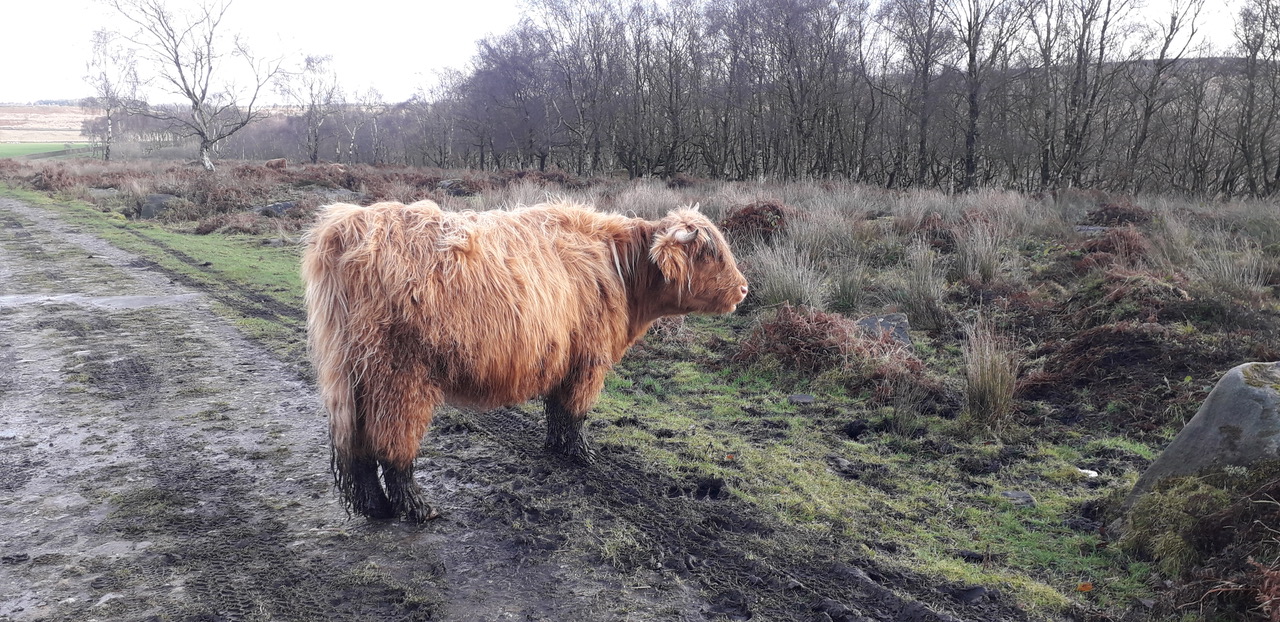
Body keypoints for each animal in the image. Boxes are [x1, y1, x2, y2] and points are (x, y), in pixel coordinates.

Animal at [301, 199, 749, 522]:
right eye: (709, 254)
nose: (744, 289)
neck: (621, 269)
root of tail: (348, 225)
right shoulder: (588, 361)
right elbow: (574, 412)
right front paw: (579, 454)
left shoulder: (565, 357)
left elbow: (556, 409)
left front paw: (554, 447)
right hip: (400, 375)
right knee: (392, 444)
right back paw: (416, 507)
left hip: (352, 374)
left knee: (356, 444)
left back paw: (373, 507)